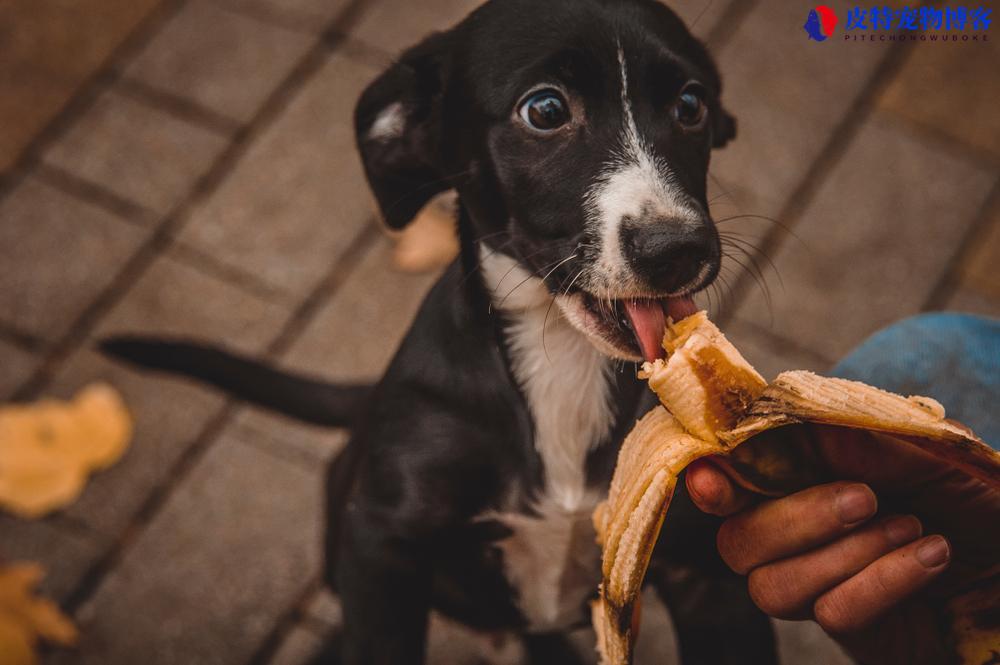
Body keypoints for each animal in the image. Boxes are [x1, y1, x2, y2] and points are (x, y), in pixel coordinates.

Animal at [105, 1, 776, 664]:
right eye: (545, 110)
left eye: (691, 105)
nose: (677, 249)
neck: (560, 355)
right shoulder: (380, 544)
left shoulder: (709, 577)